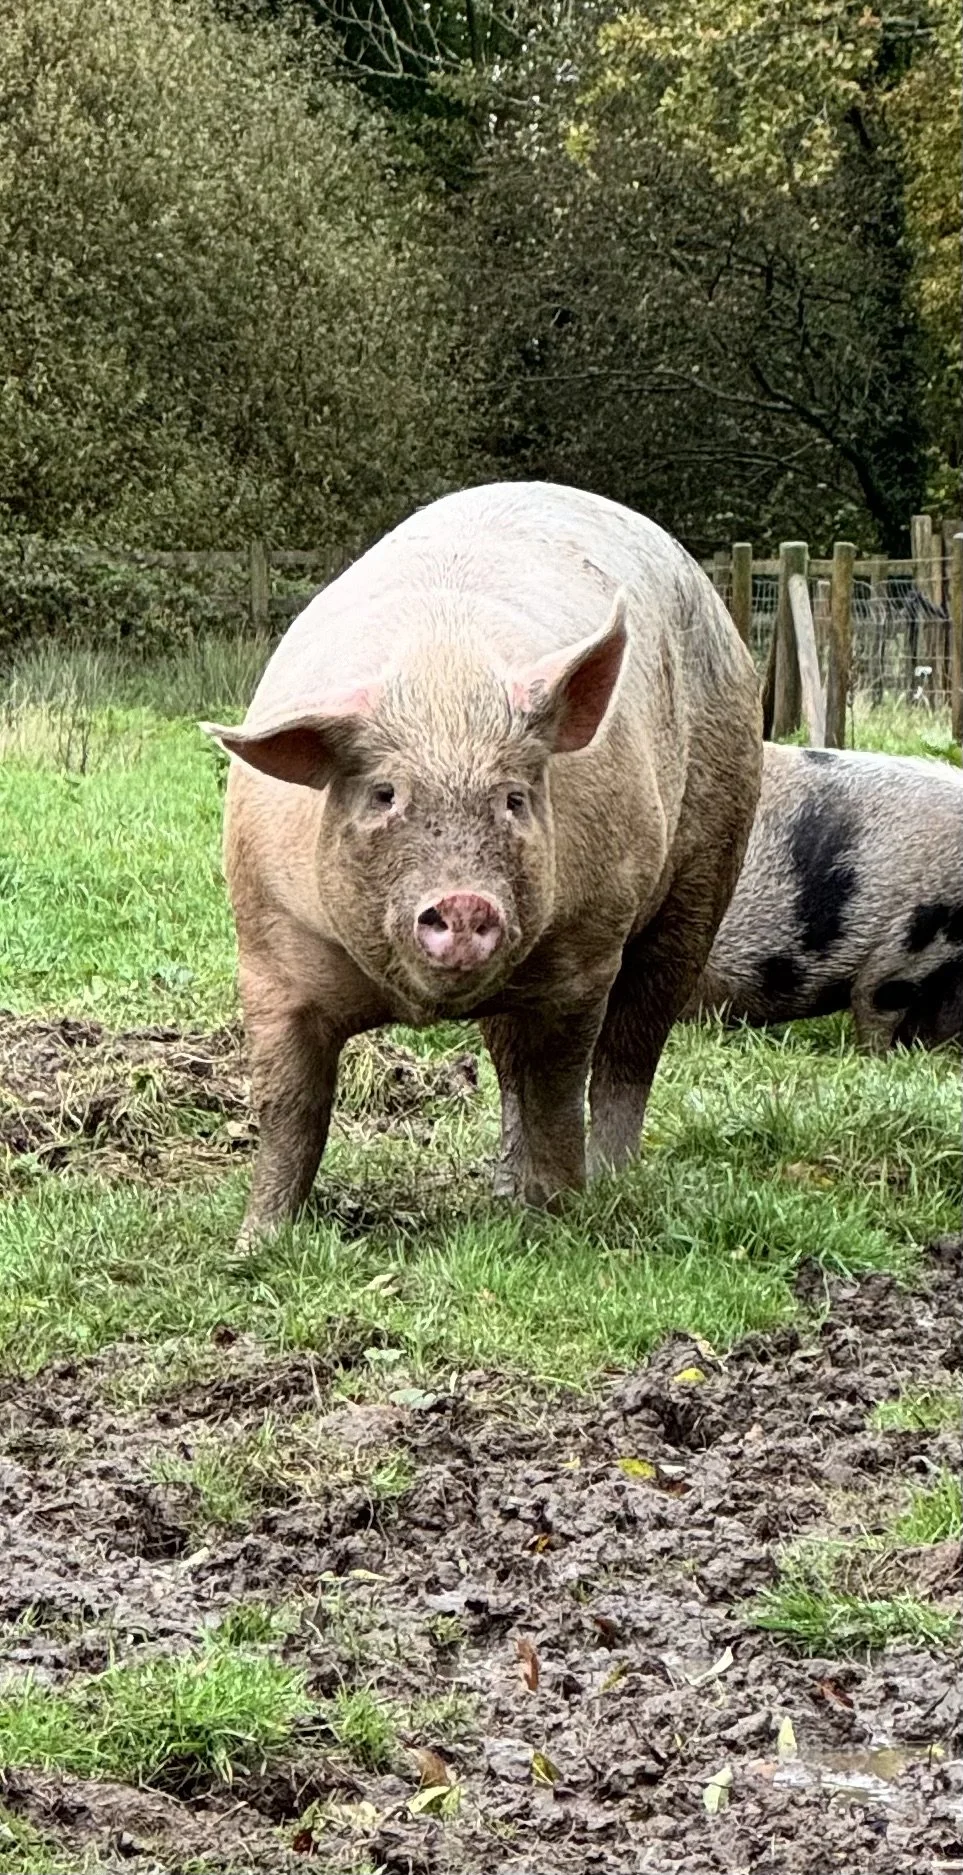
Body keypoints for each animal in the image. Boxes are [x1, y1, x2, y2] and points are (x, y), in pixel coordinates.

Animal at [204, 481, 761, 1245]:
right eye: (384, 794)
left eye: (514, 799)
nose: (465, 901)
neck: (443, 679)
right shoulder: (268, 952)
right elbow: (290, 1110)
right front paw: (256, 1242)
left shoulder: (582, 952)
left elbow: (557, 1091)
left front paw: (558, 1221)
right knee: (508, 1062)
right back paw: (504, 1189)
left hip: (709, 861)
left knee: (630, 1049)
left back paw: (607, 1182)